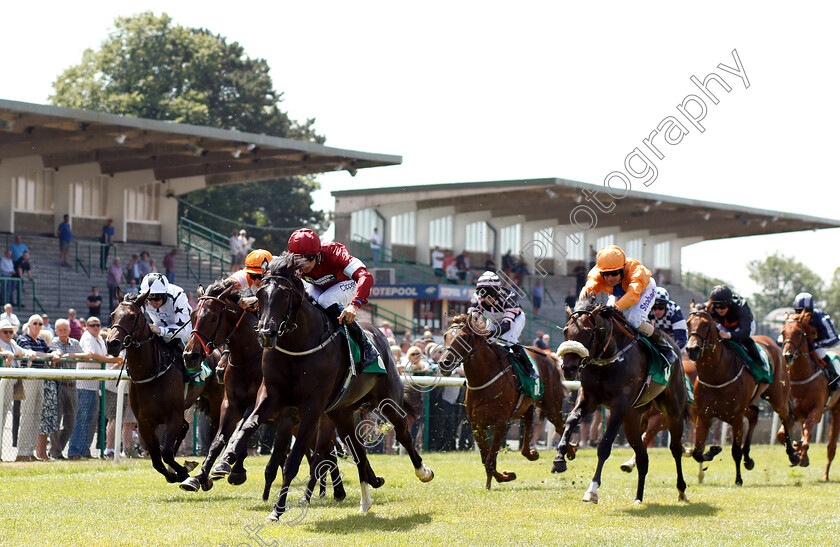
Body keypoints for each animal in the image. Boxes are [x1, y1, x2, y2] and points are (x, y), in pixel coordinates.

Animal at [103, 292, 225, 484]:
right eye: (113, 314)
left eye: (132, 316)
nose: (112, 343)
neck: (150, 373)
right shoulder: (144, 423)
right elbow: (157, 460)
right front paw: (177, 472)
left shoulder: (173, 415)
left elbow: (166, 453)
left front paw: (183, 472)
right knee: (185, 428)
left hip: (215, 399)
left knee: (214, 432)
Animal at [436, 314, 576, 490]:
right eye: (445, 336)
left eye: (464, 337)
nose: (444, 363)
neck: (485, 376)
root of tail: (550, 357)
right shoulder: (477, 424)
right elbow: (486, 458)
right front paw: (503, 476)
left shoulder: (500, 422)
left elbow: (490, 458)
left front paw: (496, 480)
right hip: (524, 406)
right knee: (529, 420)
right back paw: (531, 453)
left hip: (550, 405)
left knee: (560, 425)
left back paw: (570, 452)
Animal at [552, 302, 688, 508]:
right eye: (566, 331)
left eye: (587, 331)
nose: (568, 368)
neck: (608, 359)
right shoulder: (589, 398)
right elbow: (571, 420)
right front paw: (559, 458)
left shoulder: (620, 406)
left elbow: (605, 446)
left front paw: (592, 491)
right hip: (632, 419)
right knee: (643, 458)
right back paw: (638, 498)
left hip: (673, 410)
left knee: (676, 448)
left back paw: (681, 491)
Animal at [684, 306, 796, 486]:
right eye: (688, 323)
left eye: (707, 324)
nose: (692, 349)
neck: (716, 375)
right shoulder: (704, 415)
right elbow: (697, 452)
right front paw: (713, 449)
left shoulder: (735, 417)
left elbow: (735, 450)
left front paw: (738, 479)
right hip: (747, 405)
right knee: (755, 414)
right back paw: (748, 459)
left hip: (778, 397)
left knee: (786, 417)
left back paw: (793, 455)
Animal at [776, 312, 840, 480]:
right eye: (783, 332)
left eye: (799, 332)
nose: (787, 355)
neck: (801, 377)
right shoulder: (792, 413)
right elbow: (781, 435)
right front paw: (795, 454)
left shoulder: (816, 410)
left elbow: (806, 440)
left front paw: (802, 457)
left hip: (836, 411)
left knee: (831, 447)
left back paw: (825, 476)